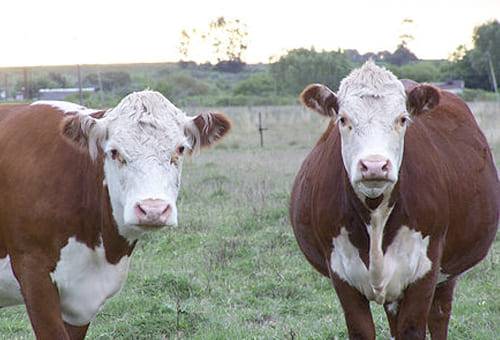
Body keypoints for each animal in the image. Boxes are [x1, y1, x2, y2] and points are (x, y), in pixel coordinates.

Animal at [292, 61, 498, 340]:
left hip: (448, 272)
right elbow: (362, 330)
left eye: (402, 119)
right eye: (343, 119)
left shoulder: (425, 271)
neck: (375, 213)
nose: (374, 165)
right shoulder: (341, 273)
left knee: (439, 316)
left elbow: (413, 329)